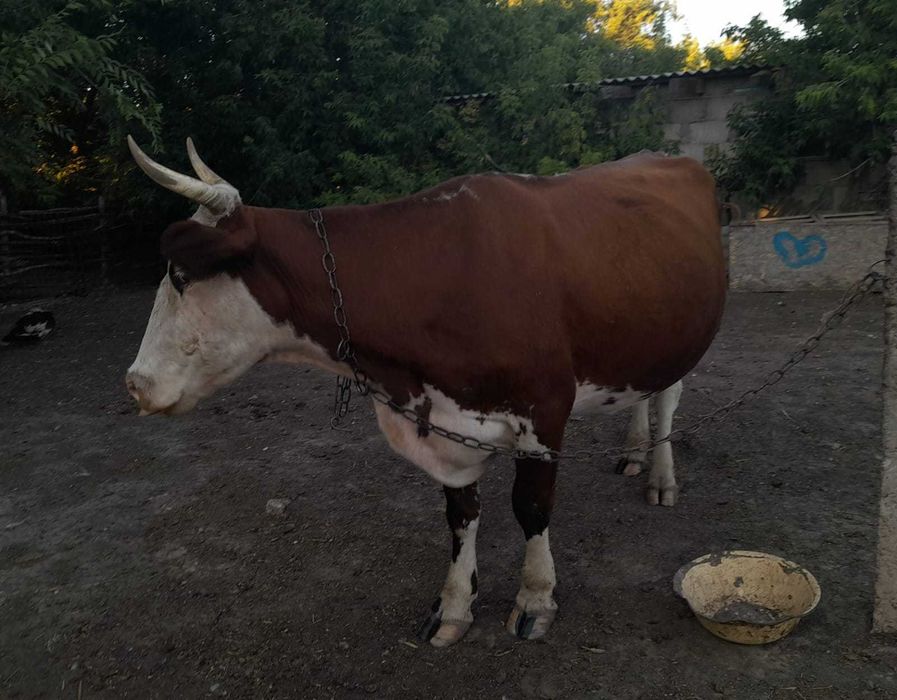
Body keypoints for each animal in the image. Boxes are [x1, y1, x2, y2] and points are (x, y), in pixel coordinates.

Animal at [125, 136, 726, 647]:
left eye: (180, 274)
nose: (134, 383)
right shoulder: (446, 419)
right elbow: (461, 514)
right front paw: (455, 606)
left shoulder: (545, 408)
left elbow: (531, 508)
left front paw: (535, 600)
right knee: (645, 395)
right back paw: (632, 453)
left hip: (683, 337)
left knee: (668, 401)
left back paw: (660, 476)